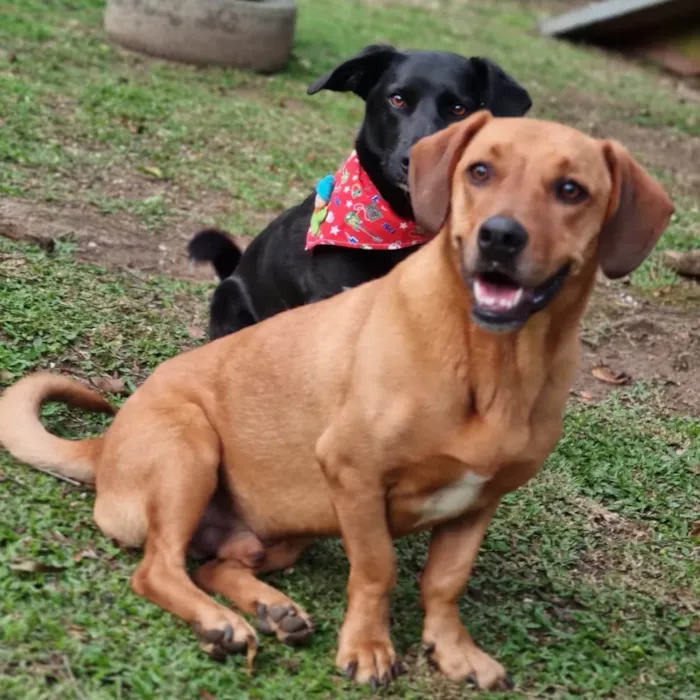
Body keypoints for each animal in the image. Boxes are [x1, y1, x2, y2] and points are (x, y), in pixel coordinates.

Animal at [0, 113, 672, 688]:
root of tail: (106, 443)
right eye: (480, 171)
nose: (501, 237)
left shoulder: (478, 502)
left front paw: (452, 649)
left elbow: (444, 583)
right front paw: (370, 648)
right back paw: (222, 622)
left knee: (215, 565)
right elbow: (378, 569)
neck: (492, 364)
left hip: (285, 526)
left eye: (571, 189)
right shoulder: (354, 473)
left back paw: (270, 607)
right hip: (191, 451)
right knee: (158, 568)